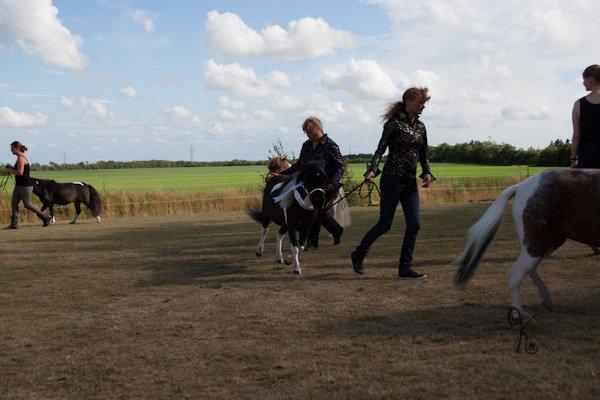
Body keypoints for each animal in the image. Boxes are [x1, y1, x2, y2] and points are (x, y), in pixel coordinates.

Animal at [454, 169, 600, 318]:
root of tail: (521, 186)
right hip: (537, 243)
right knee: (515, 274)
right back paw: (518, 314)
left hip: (548, 243)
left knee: (530, 269)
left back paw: (547, 300)